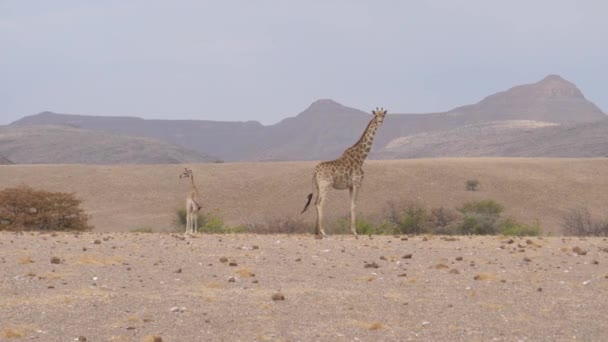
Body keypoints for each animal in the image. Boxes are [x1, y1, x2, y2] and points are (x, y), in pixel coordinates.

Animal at [300, 108, 390, 236]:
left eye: (383, 115)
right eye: (376, 115)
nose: (380, 122)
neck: (361, 157)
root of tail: (315, 172)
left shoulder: (350, 186)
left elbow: (350, 205)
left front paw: (352, 230)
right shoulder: (357, 183)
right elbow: (354, 205)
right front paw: (355, 232)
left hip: (317, 186)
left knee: (315, 203)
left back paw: (316, 232)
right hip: (325, 185)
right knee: (319, 203)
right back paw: (323, 232)